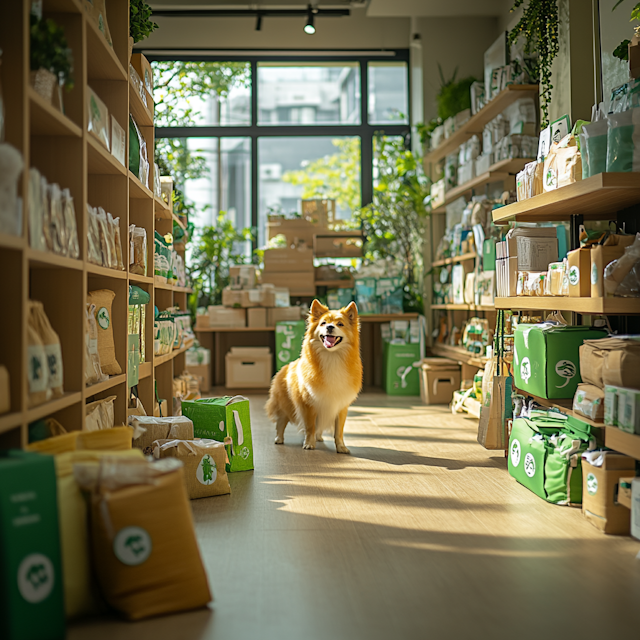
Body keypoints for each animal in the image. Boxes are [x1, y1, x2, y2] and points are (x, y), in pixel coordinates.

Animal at [264, 300, 362, 456]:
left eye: (340, 324)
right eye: (323, 323)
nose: (329, 327)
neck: (331, 357)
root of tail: (285, 367)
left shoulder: (340, 406)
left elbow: (339, 431)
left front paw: (341, 447)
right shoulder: (308, 405)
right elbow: (309, 427)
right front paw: (309, 444)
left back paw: (319, 437)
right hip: (284, 406)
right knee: (281, 422)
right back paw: (279, 439)